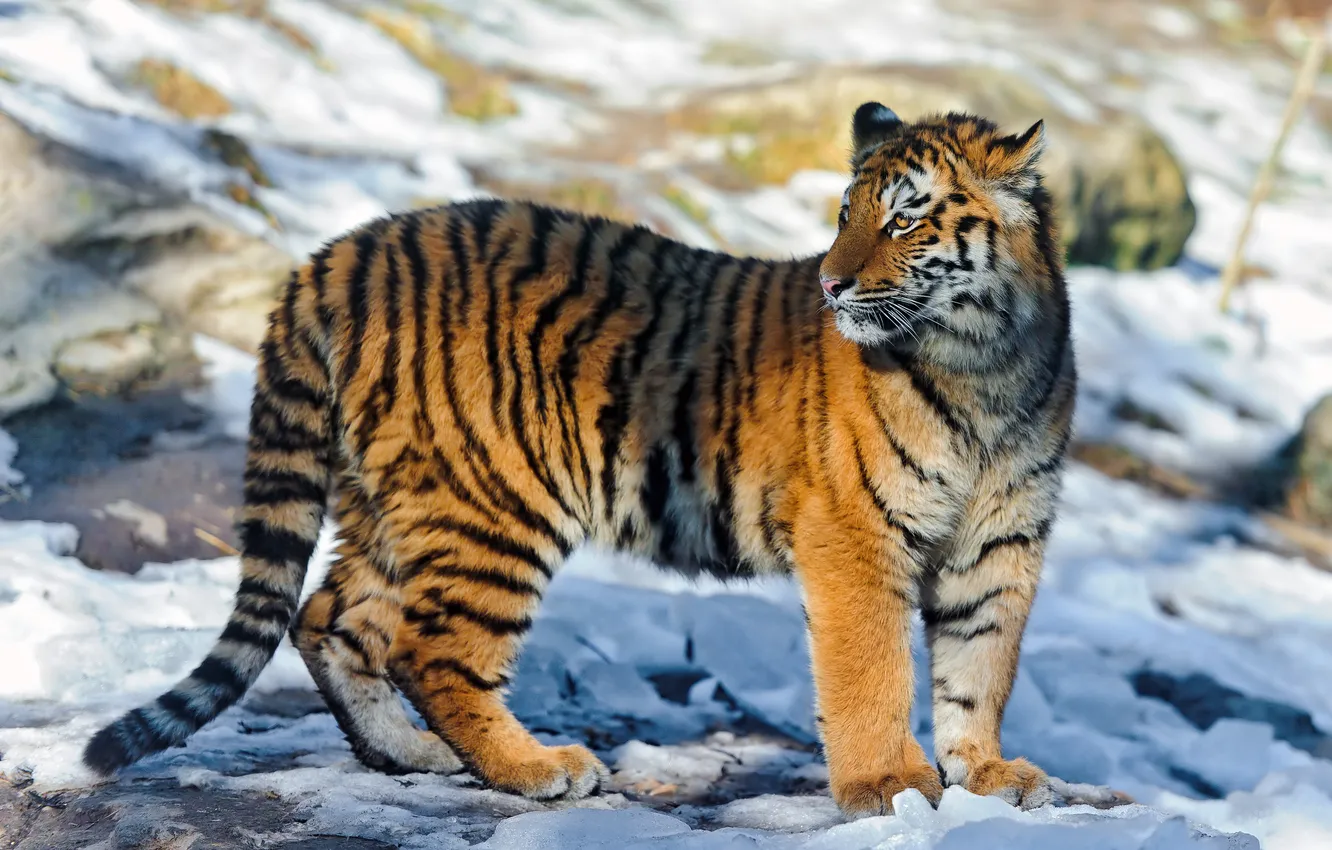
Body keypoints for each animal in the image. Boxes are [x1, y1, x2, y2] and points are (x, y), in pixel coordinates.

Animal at [83, 103, 1074, 817]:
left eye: (905, 220)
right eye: (842, 217)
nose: (830, 284)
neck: (986, 365)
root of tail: (341, 252)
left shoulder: (1001, 542)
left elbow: (980, 666)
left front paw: (985, 776)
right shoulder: (856, 535)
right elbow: (873, 670)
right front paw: (889, 786)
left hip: (393, 499)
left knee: (330, 617)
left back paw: (407, 755)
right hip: (496, 502)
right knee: (432, 647)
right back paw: (535, 768)